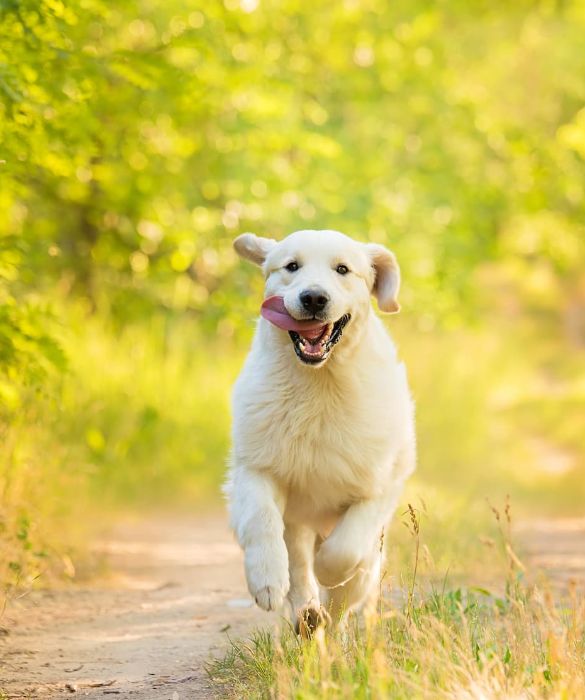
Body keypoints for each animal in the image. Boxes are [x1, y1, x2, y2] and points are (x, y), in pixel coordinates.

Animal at [225, 231, 416, 636]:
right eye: (291, 266)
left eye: (342, 269)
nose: (313, 297)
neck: (319, 382)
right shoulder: (255, 467)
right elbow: (261, 520)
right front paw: (266, 581)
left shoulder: (379, 486)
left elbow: (345, 550)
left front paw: (330, 572)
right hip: (297, 522)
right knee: (298, 564)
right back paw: (307, 614)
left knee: (353, 585)